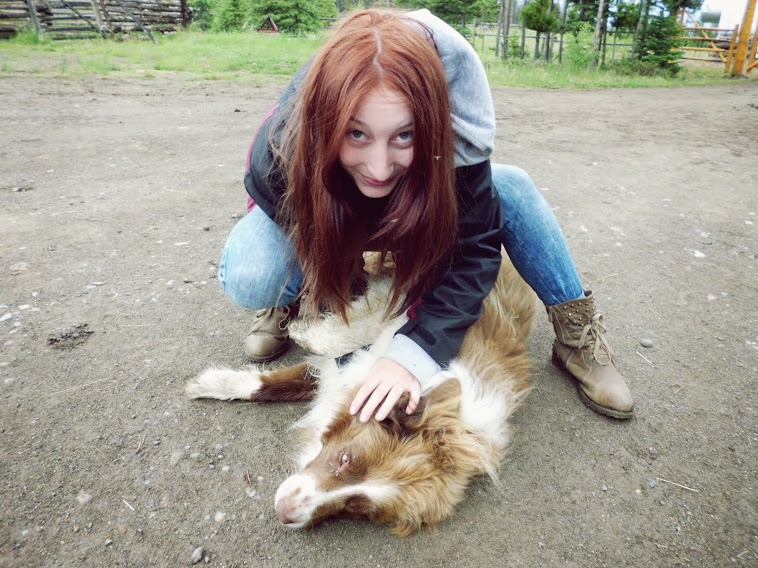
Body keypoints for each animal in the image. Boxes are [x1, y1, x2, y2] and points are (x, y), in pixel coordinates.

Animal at [186, 251, 536, 536]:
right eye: (346, 458)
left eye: (358, 508)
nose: (284, 512)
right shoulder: (384, 327)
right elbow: (352, 330)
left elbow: (286, 382)